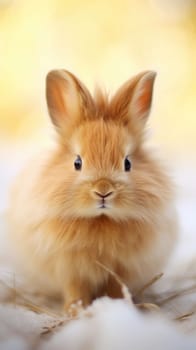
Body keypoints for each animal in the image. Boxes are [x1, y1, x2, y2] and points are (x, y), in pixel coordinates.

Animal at [7, 67, 178, 312]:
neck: (101, 220)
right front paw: (75, 311)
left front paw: (118, 308)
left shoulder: (120, 269)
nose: (103, 190)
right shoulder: (70, 268)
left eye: (128, 163)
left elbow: (116, 289)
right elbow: (76, 290)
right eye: (77, 162)